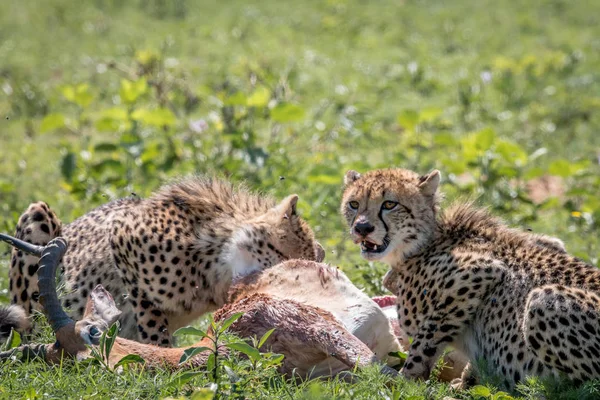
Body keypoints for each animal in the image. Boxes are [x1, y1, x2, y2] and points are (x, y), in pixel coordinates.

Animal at [340, 168, 600, 388]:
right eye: (354, 204)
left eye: (389, 204)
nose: (362, 228)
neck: (420, 244)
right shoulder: (550, 243)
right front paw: (467, 382)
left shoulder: (480, 272)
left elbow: (426, 339)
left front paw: (406, 380)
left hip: (543, 299)